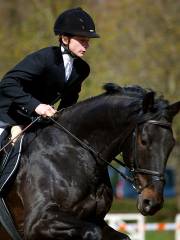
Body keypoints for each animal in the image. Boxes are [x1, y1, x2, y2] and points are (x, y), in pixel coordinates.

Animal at [1, 83, 180, 239]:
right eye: (144, 141)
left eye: (171, 144)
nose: (152, 202)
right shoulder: (37, 223)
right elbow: (93, 232)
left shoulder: (96, 220)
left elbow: (121, 236)